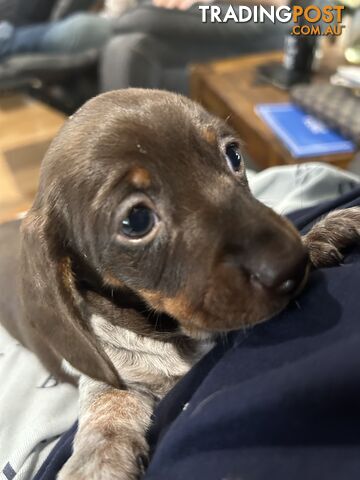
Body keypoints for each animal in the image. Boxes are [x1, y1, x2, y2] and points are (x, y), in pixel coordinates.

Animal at [3, 88, 360, 478]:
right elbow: (108, 406)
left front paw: (319, 234)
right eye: (136, 220)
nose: (292, 264)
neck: (174, 332)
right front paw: (99, 458)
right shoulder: (117, 377)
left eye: (234, 156)